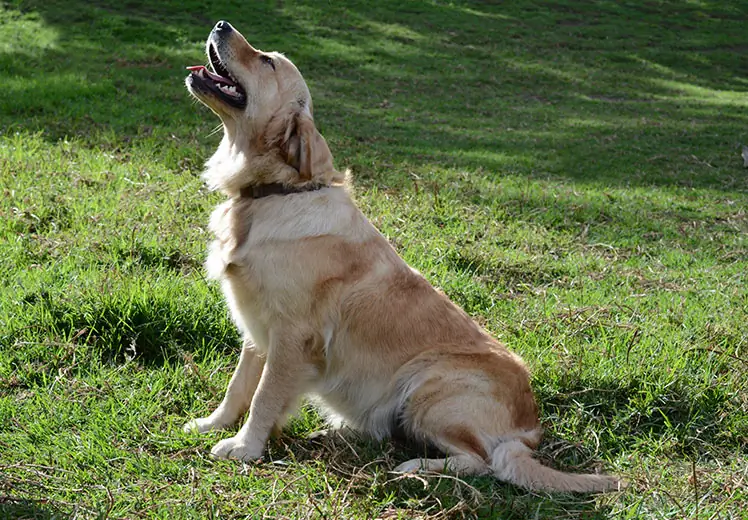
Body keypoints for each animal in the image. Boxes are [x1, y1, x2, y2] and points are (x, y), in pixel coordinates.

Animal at [181, 19, 620, 492]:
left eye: (266, 61)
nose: (222, 24)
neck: (273, 192)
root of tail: (527, 432)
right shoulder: (256, 329)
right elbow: (238, 386)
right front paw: (212, 424)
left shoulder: (291, 335)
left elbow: (264, 395)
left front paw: (245, 448)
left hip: (428, 386)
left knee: (482, 462)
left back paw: (414, 468)